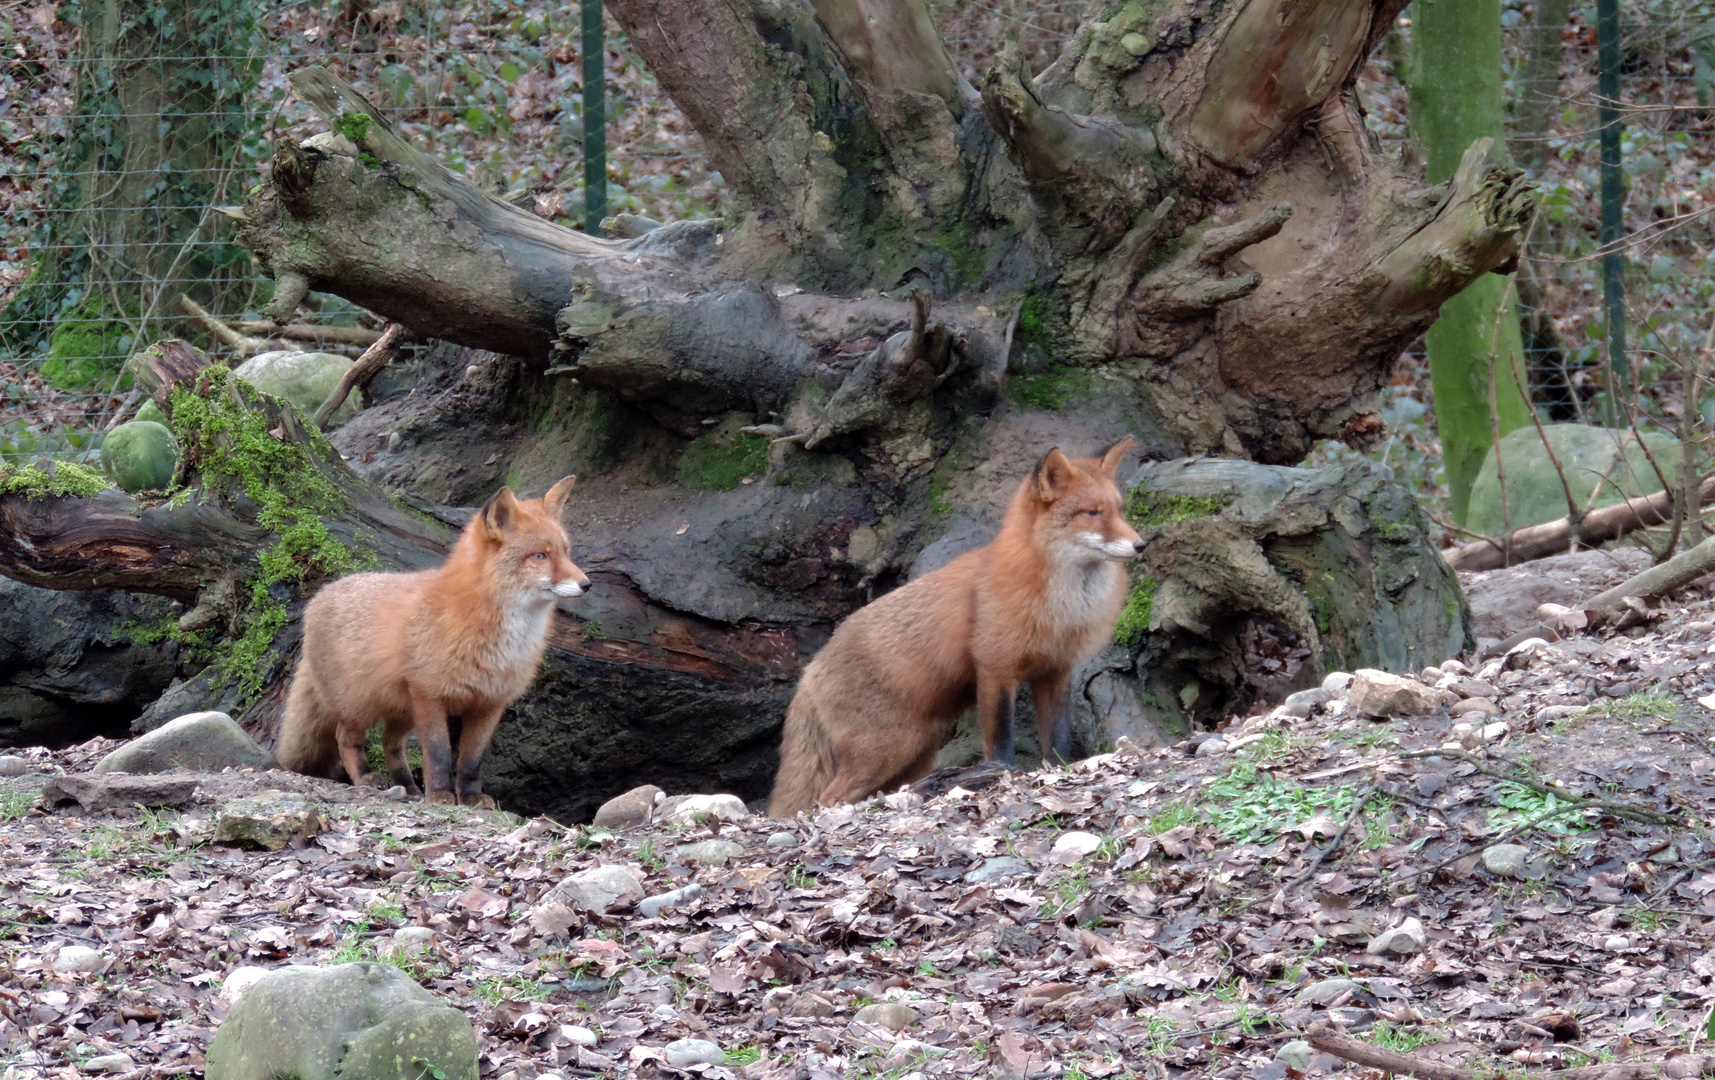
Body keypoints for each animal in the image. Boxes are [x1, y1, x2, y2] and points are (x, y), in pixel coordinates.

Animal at [274, 476, 583, 809]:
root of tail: (318, 598)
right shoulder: (430, 694)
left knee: (390, 744)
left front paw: (470, 797)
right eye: (540, 556)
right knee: (345, 738)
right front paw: (439, 795)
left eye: (566, 552)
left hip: (402, 712)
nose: (587, 584)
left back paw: (408, 787)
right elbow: (438, 755)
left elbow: (471, 760)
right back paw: (367, 778)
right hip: (360, 706)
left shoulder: (489, 703)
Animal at [771, 435, 1145, 816]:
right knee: (826, 800)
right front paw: (1003, 776)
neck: (1062, 608)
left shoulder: (1055, 671)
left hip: (915, 753)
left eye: (1119, 510)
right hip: (884, 751)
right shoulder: (995, 669)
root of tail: (811, 667)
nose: (1140, 544)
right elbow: (1001, 742)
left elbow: (1057, 740)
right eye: (1091, 513)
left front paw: (1058, 771)